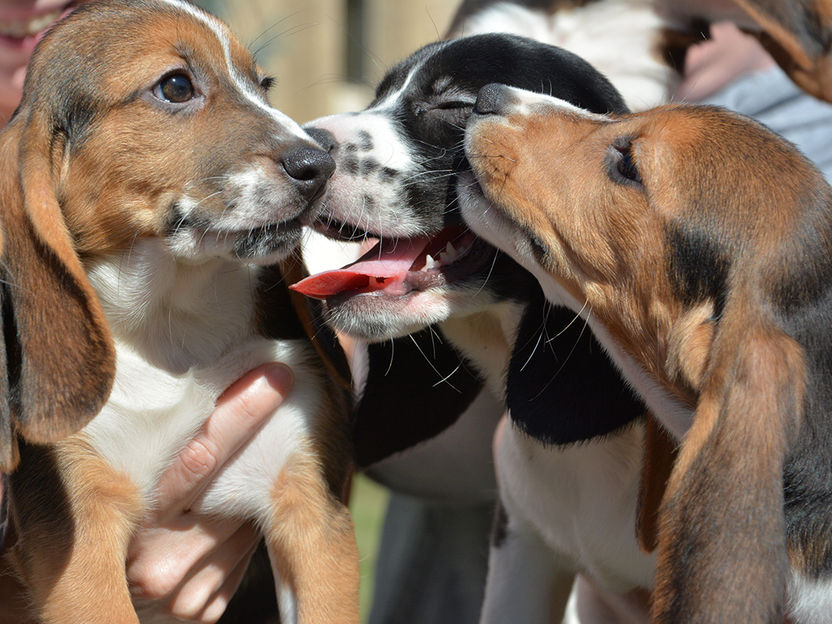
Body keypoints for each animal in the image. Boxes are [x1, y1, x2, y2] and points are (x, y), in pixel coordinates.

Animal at [0, 1, 358, 624]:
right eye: (175, 86)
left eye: (264, 84)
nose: (320, 164)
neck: (173, 326)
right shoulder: (79, 547)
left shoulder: (312, 513)